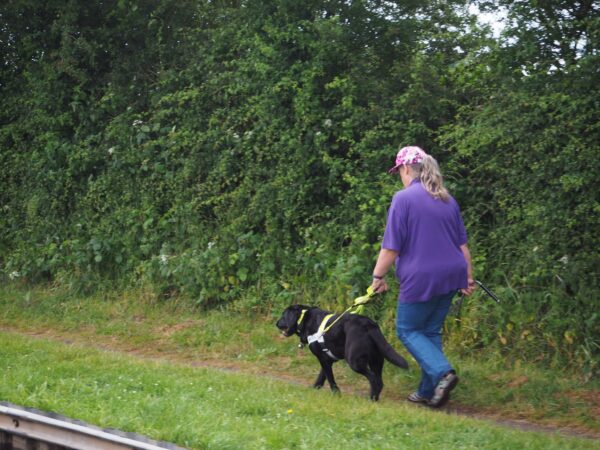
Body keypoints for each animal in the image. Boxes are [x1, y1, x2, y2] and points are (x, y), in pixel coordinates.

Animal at [276, 304, 408, 400]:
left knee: (373, 379)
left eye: (283, 315)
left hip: (354, 361)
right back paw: (374, 399)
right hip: (377, 360)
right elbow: (322, 376)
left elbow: (330, 378)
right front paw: (314, 388)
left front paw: (336, 394)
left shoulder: (322, 359)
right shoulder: (327, 360)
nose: (276, 323)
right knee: (379, 381)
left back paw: (370, 399)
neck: (304, 318)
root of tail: (369, 324)